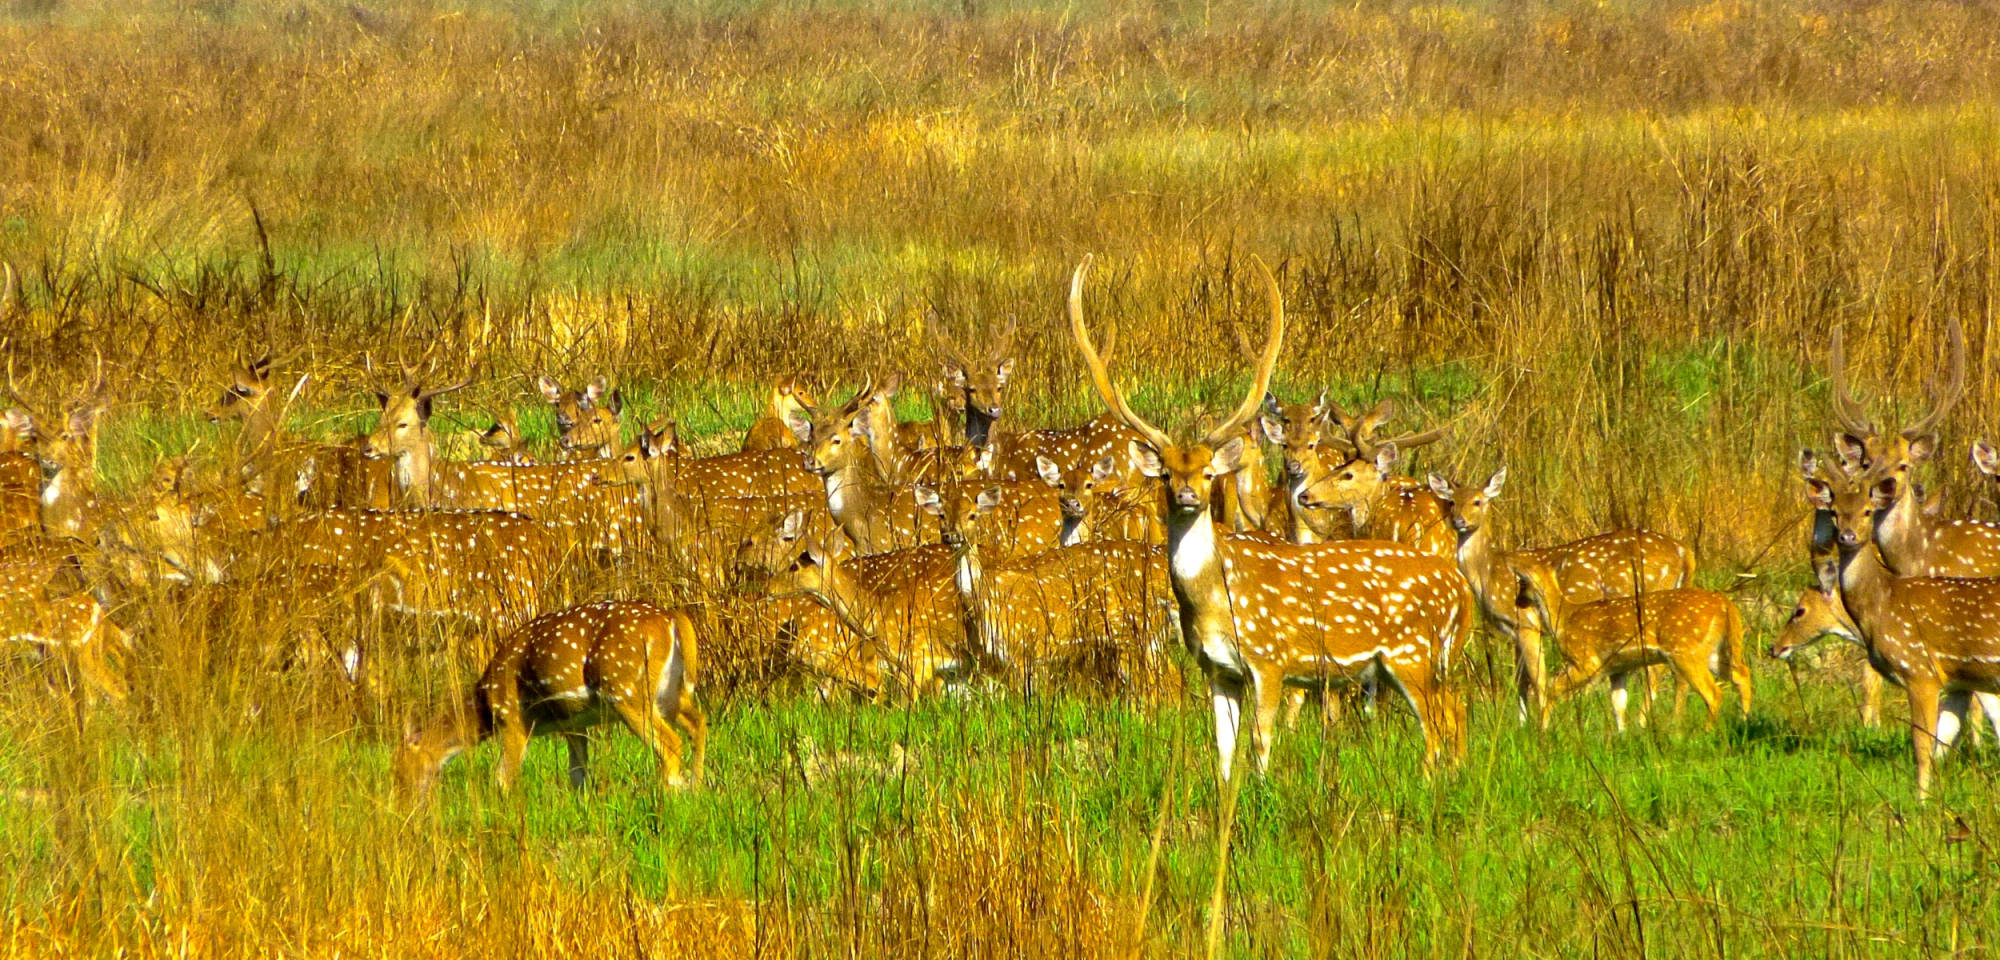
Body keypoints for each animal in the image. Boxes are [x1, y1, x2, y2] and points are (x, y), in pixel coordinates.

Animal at [394, 600, 708, 796]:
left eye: (399, 771)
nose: (404, 802)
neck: (484, 708)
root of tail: (672, 619)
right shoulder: (572, 722)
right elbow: (578, 774)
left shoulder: (512, 718)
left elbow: (502, 778)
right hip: (671, 692)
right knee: (698, 722)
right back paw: (694, 787)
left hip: (626, 689)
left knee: (670, 742)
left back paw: (669, 795)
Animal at [1072, 256, 1480, 780]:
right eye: (1165, 472)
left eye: (1207, 472)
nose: (1186, 494)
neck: (1214, 600)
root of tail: (1462, 593)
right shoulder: (1216, 668)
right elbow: (1224, 754)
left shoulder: (1270, 659)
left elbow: (1261, 744)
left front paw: (1264, 793)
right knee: (1455, 709)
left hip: (1412, 651)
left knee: (1439, 721)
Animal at [1432, 468, 1696, 724]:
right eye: (1452, 502)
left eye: (1477, 501)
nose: (1458, 521)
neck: (1488, 574)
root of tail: (1684, 552)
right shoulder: (1515, 631)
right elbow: (1520, 681)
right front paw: (1522, 726)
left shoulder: (1527, 622)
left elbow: (1538, 680)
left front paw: (1543, 725)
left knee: (1658, 667)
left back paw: (1645, 721)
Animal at [1512, 560, 1752, 732]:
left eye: (1522, 584)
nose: (1517, 602)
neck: (1562, 620)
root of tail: (1725, 603)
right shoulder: (1617, 667)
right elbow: (1618, 703)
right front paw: (1622, 737)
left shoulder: (1586, 661)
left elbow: (1551, 688)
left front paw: (1542, 730)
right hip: (1713, 650)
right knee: (1742, 674)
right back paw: (1744, 719)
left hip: (1685, 650)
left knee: (1713, 692)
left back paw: (1707, 731)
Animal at [1808, 468, 2000, 800]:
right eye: (1834, 512)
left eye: (1868, 511)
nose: (1848, 536)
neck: (1883, 604)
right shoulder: (1960, 679)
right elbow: (1941, 744)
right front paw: (1932, 798)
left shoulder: (1920, 670)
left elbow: (1921, 745)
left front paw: (1920, 801)